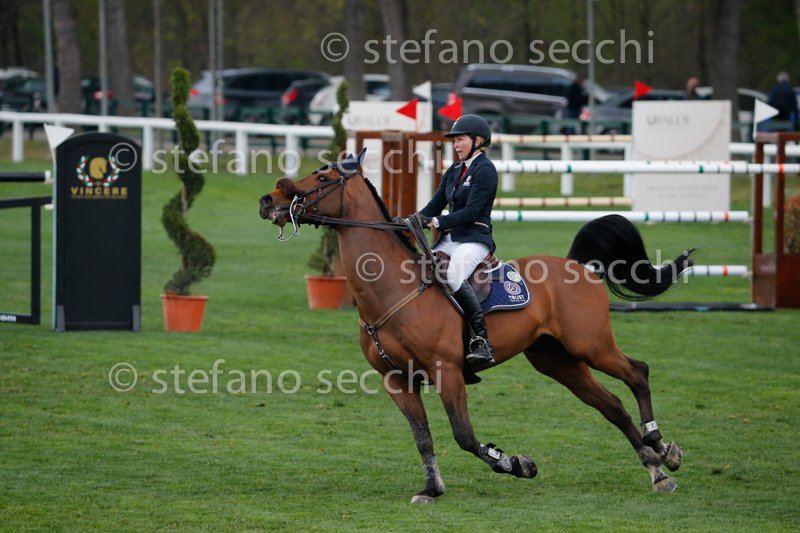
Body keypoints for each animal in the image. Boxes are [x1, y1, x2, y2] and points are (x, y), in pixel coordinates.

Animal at [258, 149, 691, 503]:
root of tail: (576, 265)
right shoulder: (397, 380)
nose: (268, 201)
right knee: (610, 404)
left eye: (322, 178)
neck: (392, 288)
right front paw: (431, 489)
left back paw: (659, 445)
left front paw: (515, 464)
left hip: (591, 345)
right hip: (556, 360)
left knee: (637, 373)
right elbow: (423, 438)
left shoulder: (447, 371)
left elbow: (463, 436)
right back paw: (656, 468)